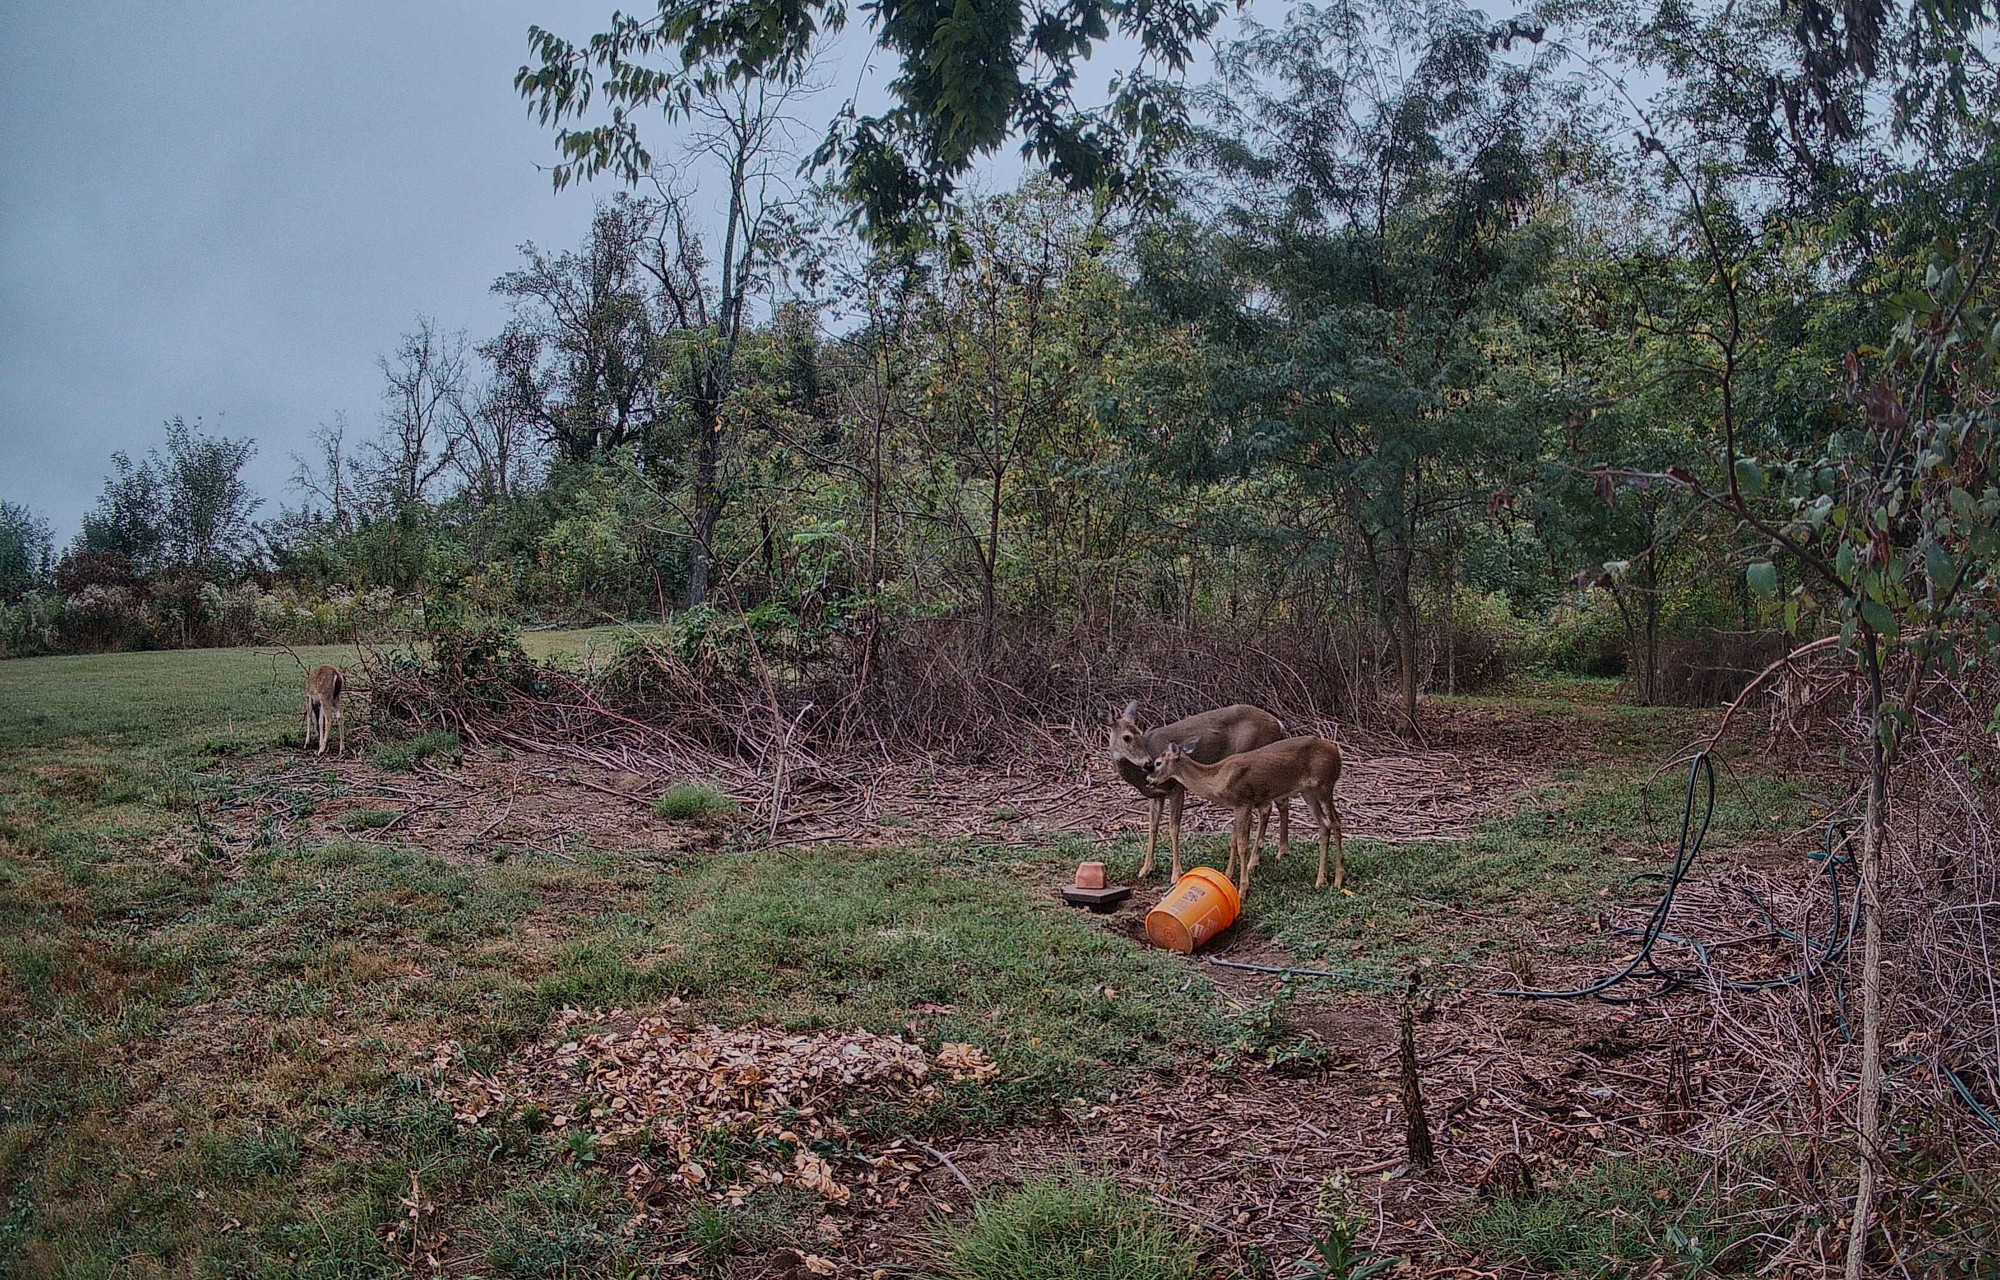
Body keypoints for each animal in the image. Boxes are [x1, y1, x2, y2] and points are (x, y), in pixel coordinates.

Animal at [1109, 701, 1289, 882]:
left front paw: (1176, 873)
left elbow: (1174, 828)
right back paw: (1278, 854)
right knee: (1278, 802)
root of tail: (1279, 724)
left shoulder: (1176, 787)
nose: (1148, 763)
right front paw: (1145, 869)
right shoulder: (1156, 795)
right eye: (1127, 737)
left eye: (1139, 734)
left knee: (1267, 808)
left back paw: (1257, 860)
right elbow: (1153, 827)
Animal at [1145, 735, 1346, 901]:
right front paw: (1227, 875)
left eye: (1158, 762)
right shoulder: (1236, 807)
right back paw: (1321, 879)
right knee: (1324, 825)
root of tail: (1336, 751)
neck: (1216, 778)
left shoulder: (1243, 802)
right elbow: (1233, 841)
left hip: (1324, 784)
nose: (1149, 780)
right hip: (1308, 791)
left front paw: (1242, 889)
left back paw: (1338, 879)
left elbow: (1242, 844)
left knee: (1336, 822)